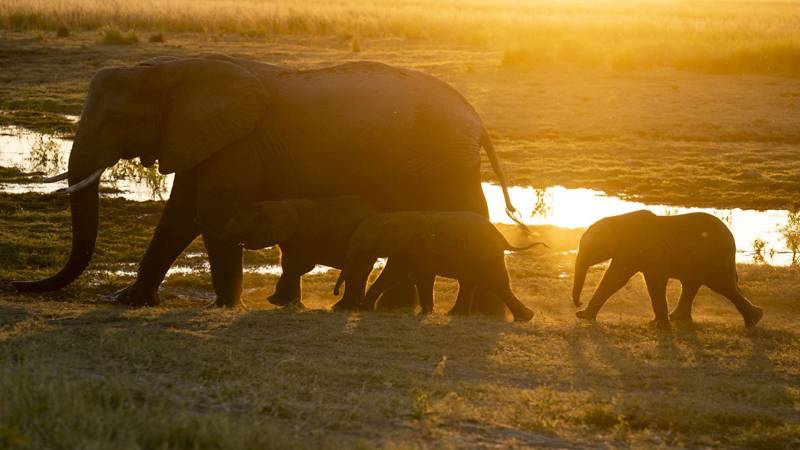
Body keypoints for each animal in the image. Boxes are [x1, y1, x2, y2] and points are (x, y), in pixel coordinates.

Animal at [220, 195, 380, 308]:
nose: (239, 243)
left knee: (357, 270)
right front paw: (290, 304)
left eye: (239, 221)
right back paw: (354, 306)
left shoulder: (303, 234)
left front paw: (273, 301)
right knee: (362, 271)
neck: (276, 204)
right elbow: (288, 264)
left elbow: (300, 265)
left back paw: (341, 307)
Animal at [332, 210, 544, 320]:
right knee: (473, 283)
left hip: (484, 255)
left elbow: (405, 275)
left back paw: (525, 317)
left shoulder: (415, 247)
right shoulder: (408, 250)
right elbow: (406, 275)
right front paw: (426, 311)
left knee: (497, 283)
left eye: (360, 241)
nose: (335, 293)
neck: (394, 217)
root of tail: (502, 237)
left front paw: (364, 308)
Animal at [568, 211, 764, 326]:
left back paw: (754, 319)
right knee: (693, 284)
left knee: (723, 286)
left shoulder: (641, 249)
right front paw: (583, 315)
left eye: (590, 247)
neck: (618, 220)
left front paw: (657, 324)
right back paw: (677, 318)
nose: (579, 303)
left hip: (715, 258)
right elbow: (617, 278)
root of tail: (731, 236)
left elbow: (629, 279)